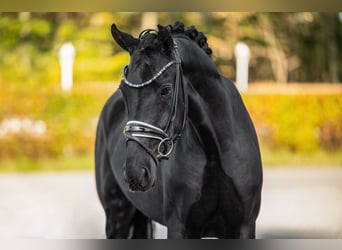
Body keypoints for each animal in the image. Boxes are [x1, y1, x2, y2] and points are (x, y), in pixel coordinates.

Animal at [95, 22, 264, 239]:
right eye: (124, 91)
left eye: (166, 90)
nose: (135, 173)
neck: (214, 151)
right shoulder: (180, 227)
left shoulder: (244, 226)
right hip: (117, 214)